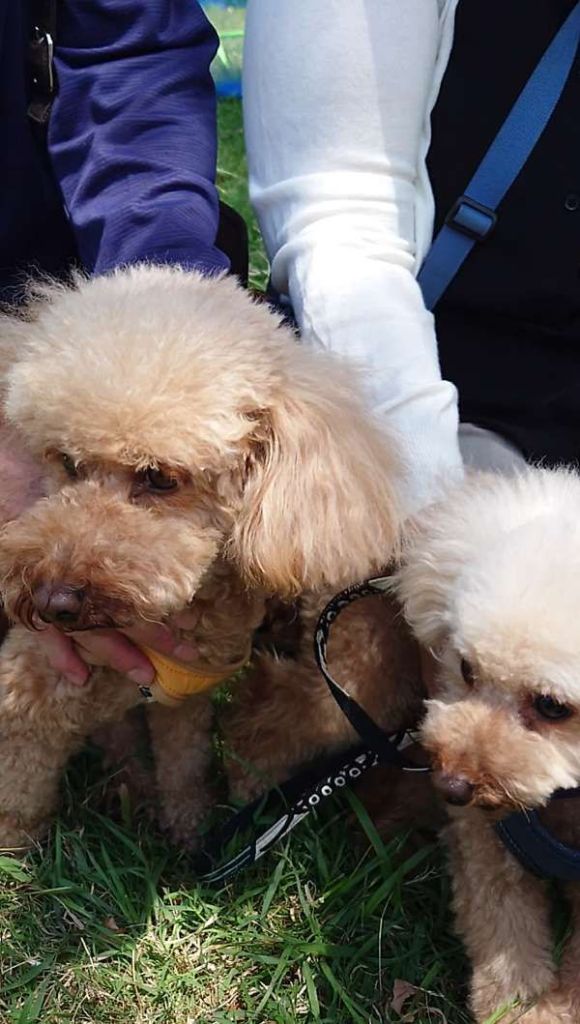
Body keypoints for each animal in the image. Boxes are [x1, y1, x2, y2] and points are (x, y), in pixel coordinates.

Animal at [0, 264, 401, 850]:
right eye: (68, 463)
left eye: (160, 478)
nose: (54, 602)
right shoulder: (30, 687)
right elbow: (18, 791)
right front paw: (13, 849)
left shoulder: (183, 698)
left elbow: (183, 762)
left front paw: (188, 830)